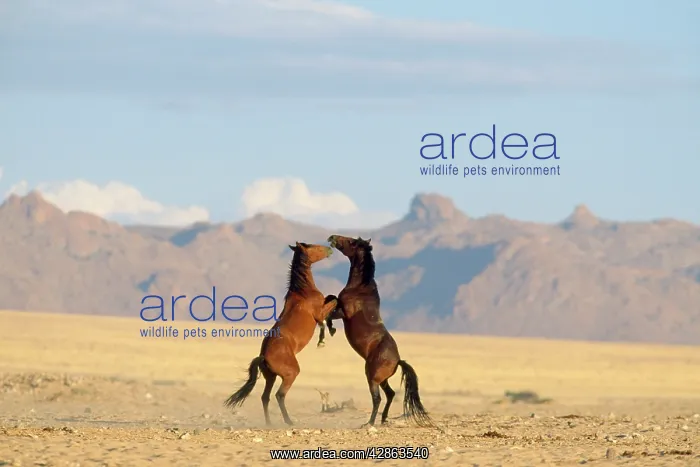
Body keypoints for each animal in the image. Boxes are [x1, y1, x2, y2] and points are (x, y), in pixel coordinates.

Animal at [223, 242, 338, 426]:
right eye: (313, 246)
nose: (330, 249)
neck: (303, 292)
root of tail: (263, 356)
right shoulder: (319, 313)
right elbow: (333, 301)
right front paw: (324, 338)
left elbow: (331, 299)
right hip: (290, 374)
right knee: (279, 395)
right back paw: (288, 421)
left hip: (270, 377)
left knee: (265, 397)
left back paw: (269, 423)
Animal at [325, 234, 433, 427]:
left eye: (352, 242)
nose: (333, 237)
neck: (360, 288)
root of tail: (398, 361)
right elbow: (331, 299)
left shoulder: (343, 313)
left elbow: (331, 309)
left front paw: (330, 330)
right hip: (382, 380)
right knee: (390, 394)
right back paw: (383, 419)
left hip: (372, 378)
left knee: (377, 398)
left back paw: (369, 423)